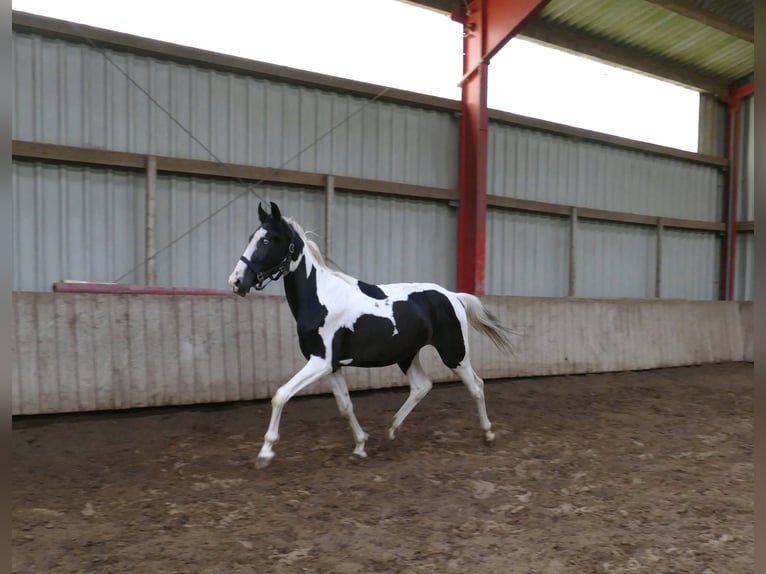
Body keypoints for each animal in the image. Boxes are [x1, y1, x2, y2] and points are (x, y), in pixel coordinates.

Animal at [228, 201, 516, 469]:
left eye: (266, 240)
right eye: (251, 236)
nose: (236, 282)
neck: (321, 297)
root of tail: (452, 296)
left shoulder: (320, 361)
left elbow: (281, 395)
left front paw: (265, 454)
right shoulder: (331, 366)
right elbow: (345, 406)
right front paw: (360, 446)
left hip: (454, 353)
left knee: (476, 386)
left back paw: (488, 434)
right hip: (407, 355)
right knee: (422, 386)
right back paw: (392, 429)